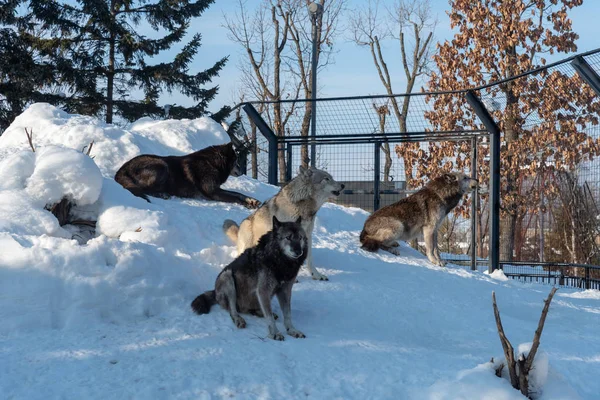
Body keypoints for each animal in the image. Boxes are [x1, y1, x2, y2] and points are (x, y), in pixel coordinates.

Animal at [115, 141, 260, 209]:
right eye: (236, 161)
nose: (241, 172)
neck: (212, 163)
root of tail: (121, 170)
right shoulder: (213, 192)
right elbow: (235, 198)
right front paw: (247, 205)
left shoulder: (217, 189)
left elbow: (238, 194)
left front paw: (252, 200)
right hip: (162, 166)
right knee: (144, 190)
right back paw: (162, 194)